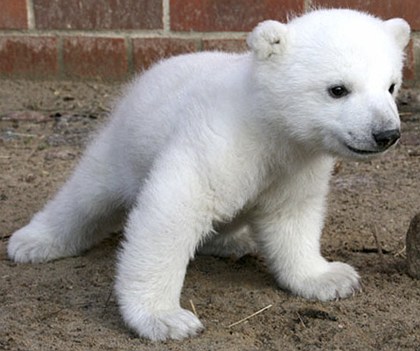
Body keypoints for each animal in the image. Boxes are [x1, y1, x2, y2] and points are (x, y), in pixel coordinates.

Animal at [8, 8, 412, 340]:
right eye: (338, 89)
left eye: (391, 85)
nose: (386, 133)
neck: (267, 123)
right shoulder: (221, 141)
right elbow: (175, 208)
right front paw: (165, 319)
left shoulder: (297, 162)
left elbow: (292, 216)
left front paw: (330, 278)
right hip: (126, 141)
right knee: (87, 194)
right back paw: (32, 242)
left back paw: (233, 241)